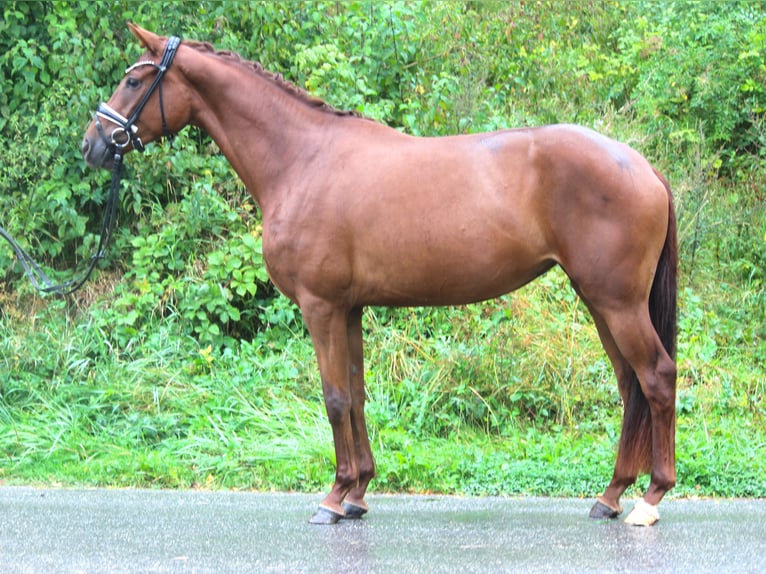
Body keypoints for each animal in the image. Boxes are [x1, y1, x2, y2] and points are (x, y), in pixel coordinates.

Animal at [84, 27, 680, 532]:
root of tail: (643, 166)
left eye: (134, 80)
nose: (93, 144)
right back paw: (610, 495)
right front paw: (358, 494)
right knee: (629, 386)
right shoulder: (348, 308)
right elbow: (357, 394)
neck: (302, 159)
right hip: (600, 301)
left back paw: (650, 499)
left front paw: (333, 497)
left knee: (656, 377)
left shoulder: (320, 306)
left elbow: (333, 398)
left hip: (618, 302)